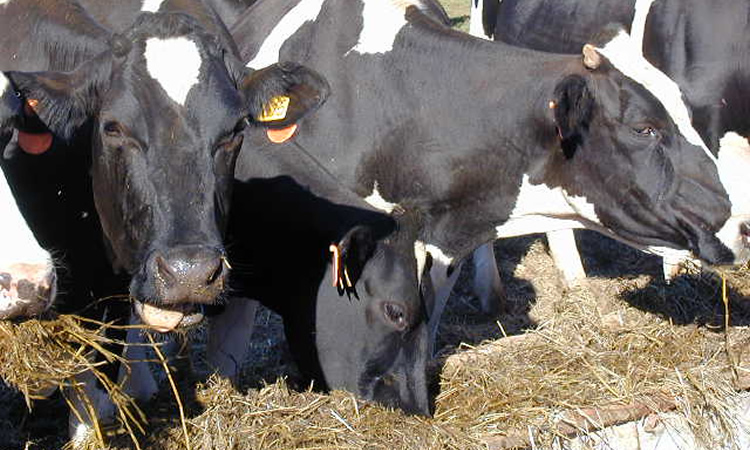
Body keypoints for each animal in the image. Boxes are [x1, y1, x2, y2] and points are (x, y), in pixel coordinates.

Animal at [219, 0, 750, 414]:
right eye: (645, 127)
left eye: (691, 118)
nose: (742, 225)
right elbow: (236, 325)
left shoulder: (438, 245)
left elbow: (425, 319)